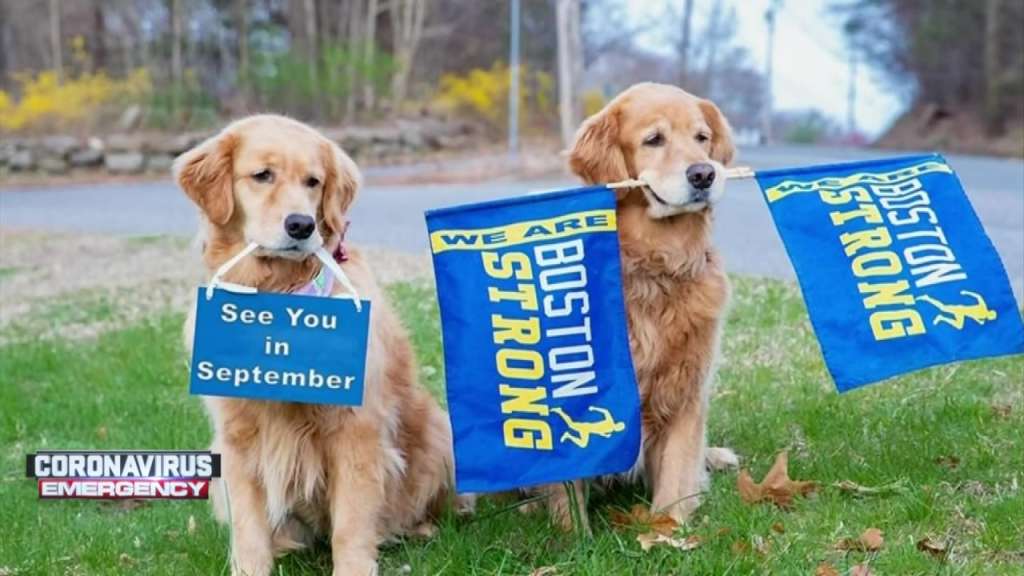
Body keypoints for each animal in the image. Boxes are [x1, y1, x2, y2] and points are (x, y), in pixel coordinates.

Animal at [178, 114, 462, 569]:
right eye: (262, 175)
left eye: (313, 181)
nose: (301, 225)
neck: (279, 300)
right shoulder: (236, 438)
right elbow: (249, 528)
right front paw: (250, 567)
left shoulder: (355, 431)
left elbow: (351, 524)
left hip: (438, 433)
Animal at [544, 81, 737, 528]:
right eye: (654, 140)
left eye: (702, 138)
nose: (703, 173)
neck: (655, 265)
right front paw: (572, 533)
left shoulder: (687, 387)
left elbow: (677, 471)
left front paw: (668, 530)